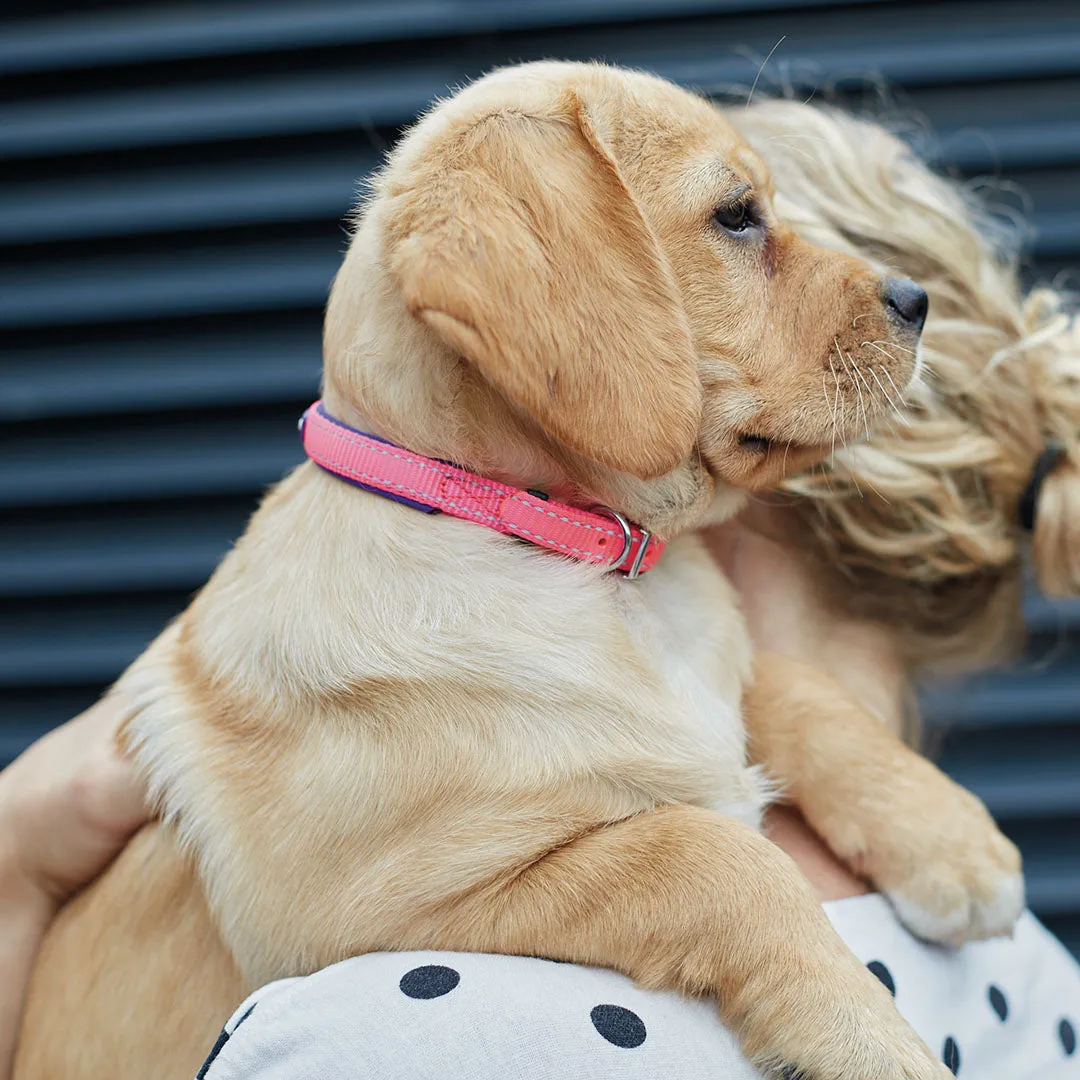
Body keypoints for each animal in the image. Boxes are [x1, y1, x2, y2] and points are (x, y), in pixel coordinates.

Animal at [19, 63, 954, 1080]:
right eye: (737, 216)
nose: (920, 299)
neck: (580, 553)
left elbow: (787, 686)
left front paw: (953, 841)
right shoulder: (387, 907)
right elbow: (705, 854)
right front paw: (869, 1037)